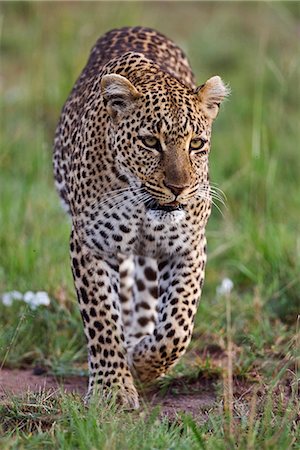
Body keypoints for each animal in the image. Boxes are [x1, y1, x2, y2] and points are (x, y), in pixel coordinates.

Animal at [53, 26, 230, 410]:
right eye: (150, 142)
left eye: (196, 144)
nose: (178, 188)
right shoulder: (91, 245)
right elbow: (102, 318)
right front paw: (112, 388)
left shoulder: (188, 247)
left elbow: (178, 325)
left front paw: (145, 363)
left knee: (148, 301)